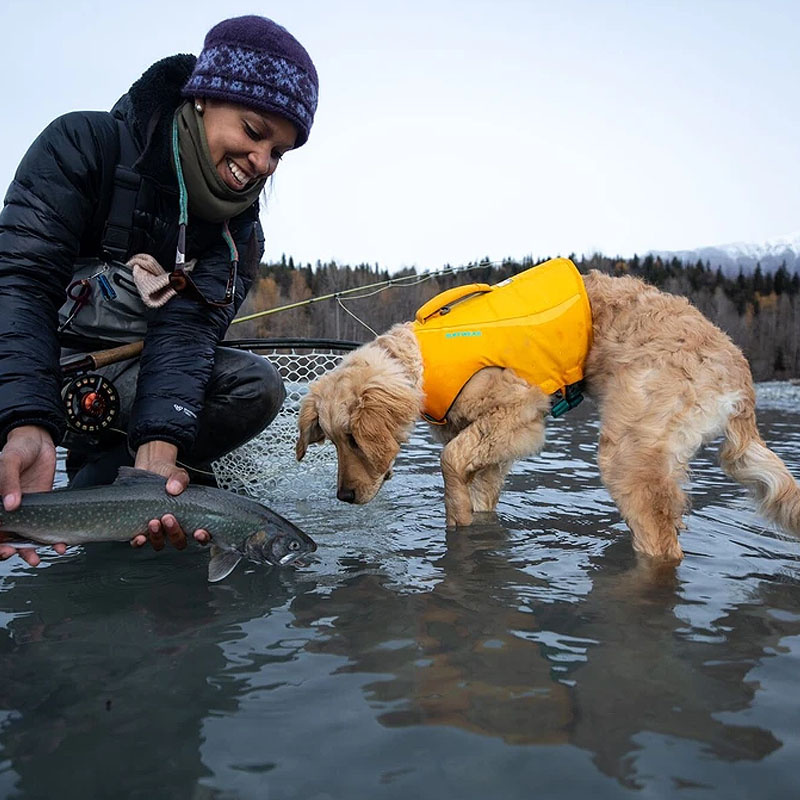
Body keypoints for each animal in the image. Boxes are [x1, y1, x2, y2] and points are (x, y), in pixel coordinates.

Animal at [296, 262, 800, 564]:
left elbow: (450, 463)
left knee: (663, 545)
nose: (343, 497)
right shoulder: (492, 446)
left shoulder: (521, 413)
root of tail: (740, 370)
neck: (423, 361)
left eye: (355, 438)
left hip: (629, 454)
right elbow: (478, 487)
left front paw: (456, 520)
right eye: (332, 440)